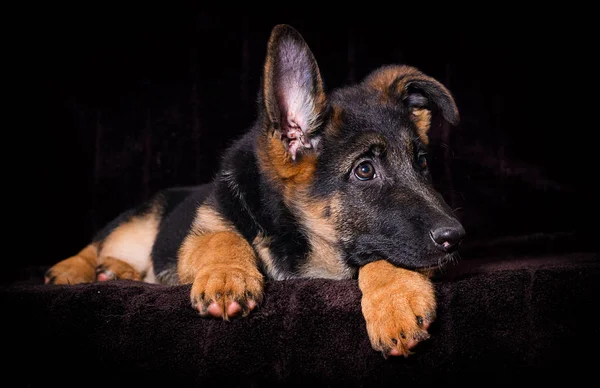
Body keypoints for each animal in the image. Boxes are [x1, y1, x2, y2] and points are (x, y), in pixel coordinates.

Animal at [48, 24, 468, 358]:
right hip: (138, 221)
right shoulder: (200, 233)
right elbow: (223, 238)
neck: (301, 239)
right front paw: (226, 276)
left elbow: (384, 258)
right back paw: (76, 268)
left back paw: (115, 272)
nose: (456, 237)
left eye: (422, 163)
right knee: (101, 241)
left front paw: (395, 300)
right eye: (365, 170)